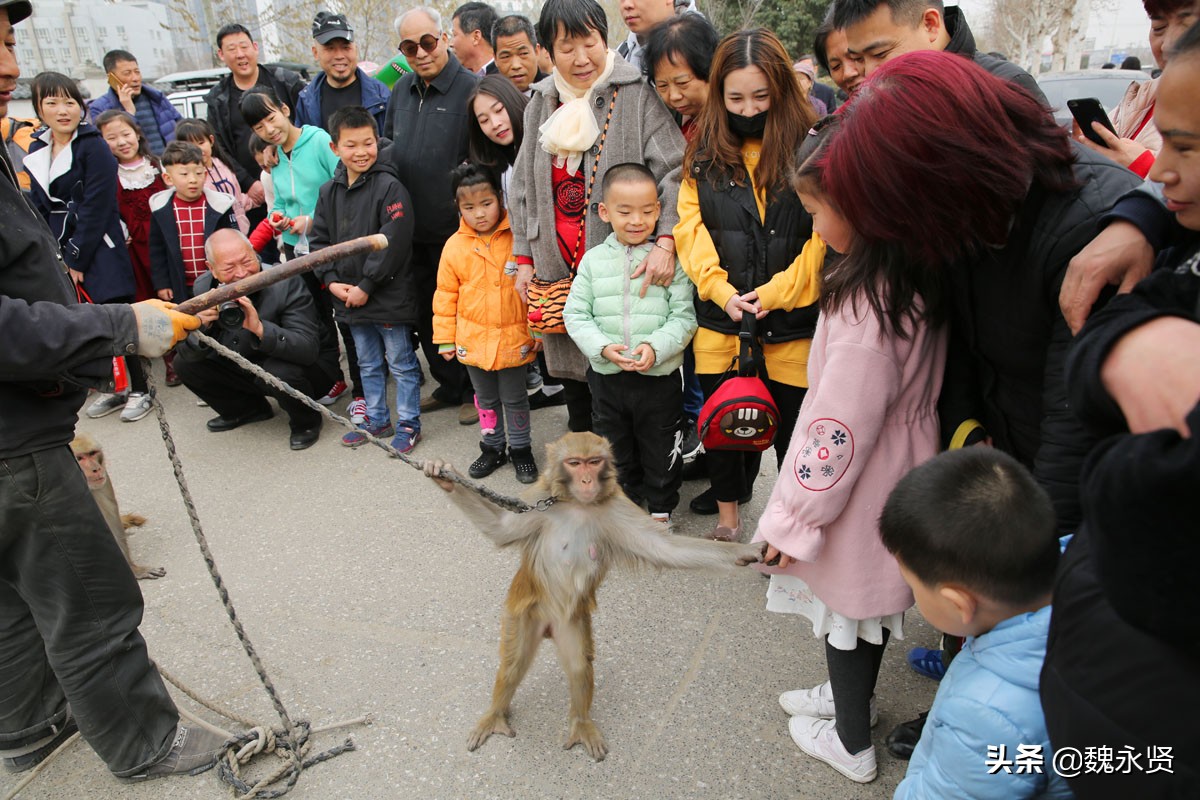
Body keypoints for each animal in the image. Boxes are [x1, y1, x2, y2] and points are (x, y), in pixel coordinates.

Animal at [70, 431, 165, 582]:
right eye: (79, 458)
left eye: (92, 453)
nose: (96, 469)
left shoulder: (104, 481)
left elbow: (111, 521)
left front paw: (133, 569)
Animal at [424, 434, 758, 762]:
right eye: (575, 463)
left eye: (594, 462)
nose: (586, 480)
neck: (577, 505)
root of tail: (548, 627)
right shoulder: (537, 502)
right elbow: (501, 529)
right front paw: (442, 475)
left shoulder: (617, 507)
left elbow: (665, 549)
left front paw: (744, 553)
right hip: (525, 614)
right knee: (513, 665)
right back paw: (495, 713)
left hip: (570, 621)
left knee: (578, 666)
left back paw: (581, 722)